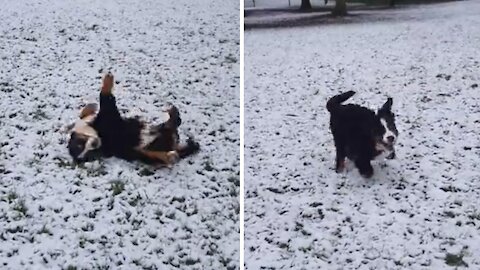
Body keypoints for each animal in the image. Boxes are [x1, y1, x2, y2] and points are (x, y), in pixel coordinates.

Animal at [67, 73, 199, 166]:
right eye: (90, 155)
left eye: (79, 144)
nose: (95, 144)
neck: (96, 130)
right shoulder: (108, 115)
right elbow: (105, 96)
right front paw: (108, 79)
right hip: (143, 153)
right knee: (166, 152)